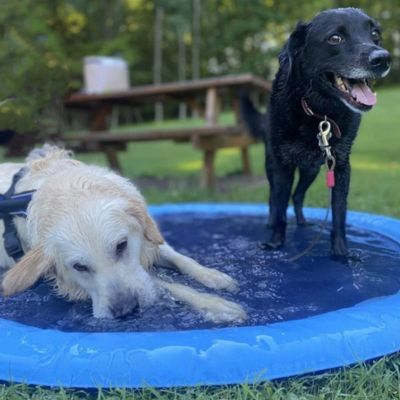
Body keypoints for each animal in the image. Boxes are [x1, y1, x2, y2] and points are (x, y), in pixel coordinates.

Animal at [0, 145, 245, 324]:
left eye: (121, 245)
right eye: (79, 267)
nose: (125, 309)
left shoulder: (148, 239)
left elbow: (181, 259)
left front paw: (213, 276)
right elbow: (168, 285)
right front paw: (216, 305)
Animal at [242, 9, 390, 260]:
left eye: (375, 35)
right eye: (335, 38)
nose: (383, 58)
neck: (320, 112)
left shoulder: (341, 166)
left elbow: (339, 213)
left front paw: (341, 253)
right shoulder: (282, 166)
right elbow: (279, 207)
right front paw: (276, 243)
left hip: (311, 169)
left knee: (297, 196)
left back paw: (302, 222)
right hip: (272, 164)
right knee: (274, 199)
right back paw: (271, 224)